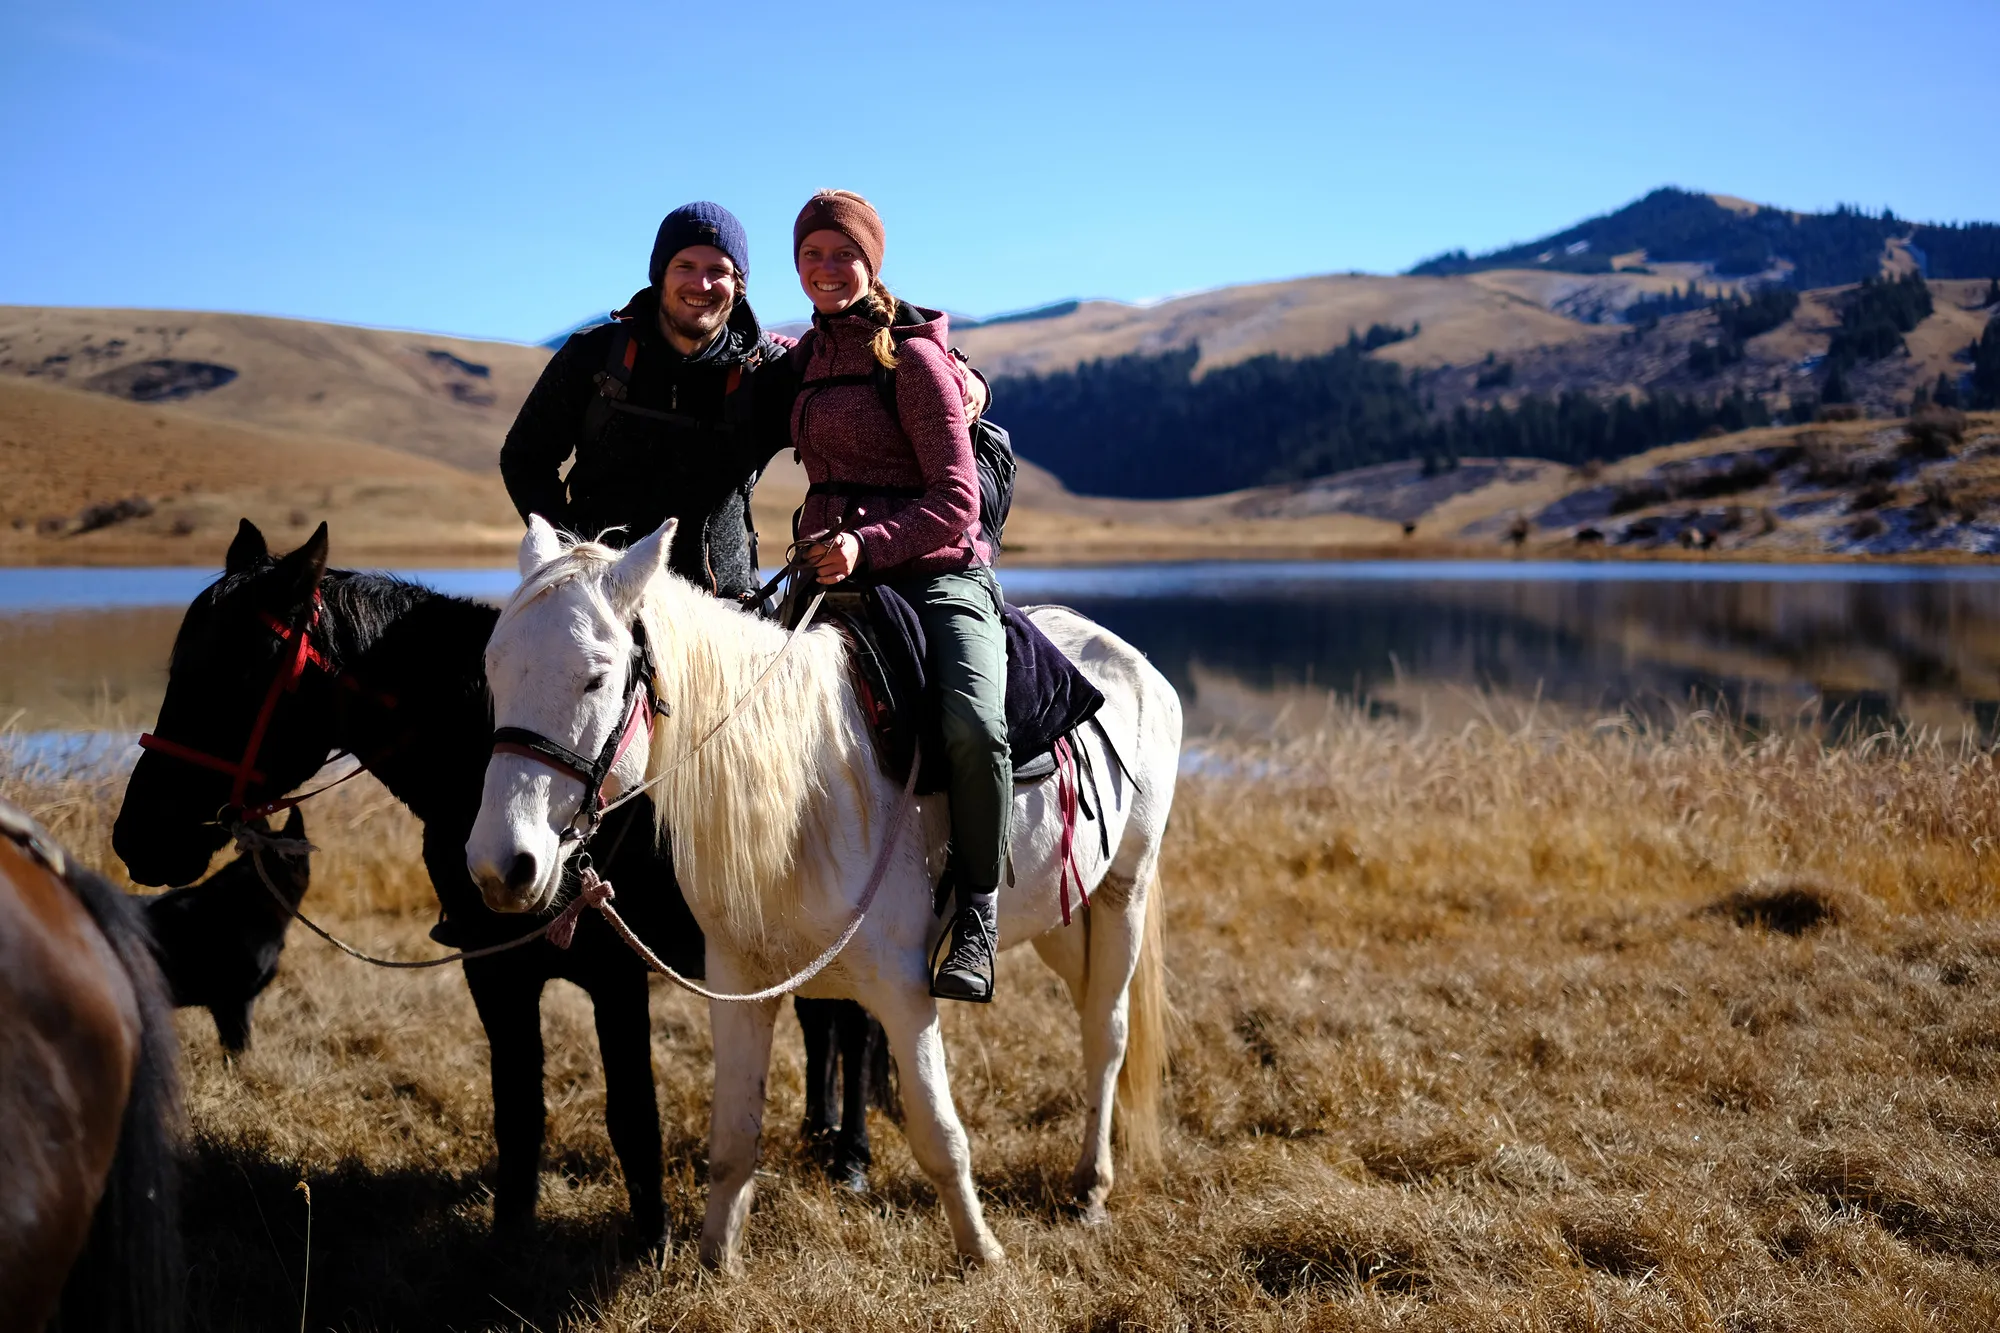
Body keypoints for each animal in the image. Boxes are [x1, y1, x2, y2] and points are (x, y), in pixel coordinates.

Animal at [112, 519, 891, 1247]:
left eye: (234, 677)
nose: (135, 836)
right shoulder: (493, 969)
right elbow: (517, 1105)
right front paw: (510, 1236)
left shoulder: (614, 973)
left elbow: (632, 1111)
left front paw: (653, 1243)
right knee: (822, 1017)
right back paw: (818, 1130)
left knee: (850, 1027)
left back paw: (849, 1155)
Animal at [466, 516, 1181, 1270]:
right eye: (493, 668)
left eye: (596, 678)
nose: (501, 866)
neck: (802, 785)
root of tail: (1131, 660)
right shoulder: (740, 981)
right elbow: (735, 1133)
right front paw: (717, 1258)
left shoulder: (903, 989)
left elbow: (939, 1133)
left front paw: (981, 1252)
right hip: (1062, 920)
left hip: (1124, 894)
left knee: (1106, 1031)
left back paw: (1091, 1185)